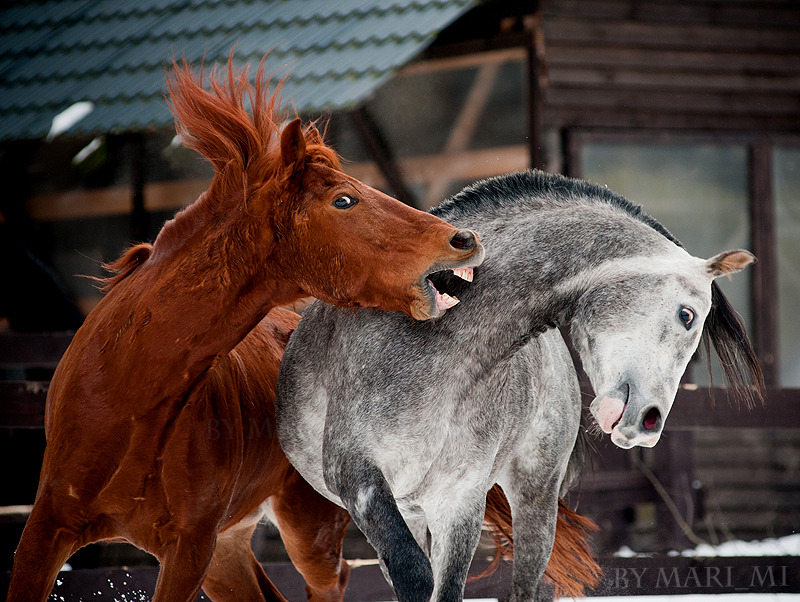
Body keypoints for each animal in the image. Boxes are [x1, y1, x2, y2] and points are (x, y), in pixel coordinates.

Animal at [6, 57, 482, 600]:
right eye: (344, 200)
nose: (464, 239)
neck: (127, 393)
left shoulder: (190, 548)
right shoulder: (46, 529)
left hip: (304, 526)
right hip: (230, 551)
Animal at [278, 170, 764, 600]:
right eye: (687, 315)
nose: (647, 422)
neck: (444, 347)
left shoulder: (459, 501)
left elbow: (445, 586)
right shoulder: (358, 476)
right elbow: (414, 574)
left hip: (534, 499)